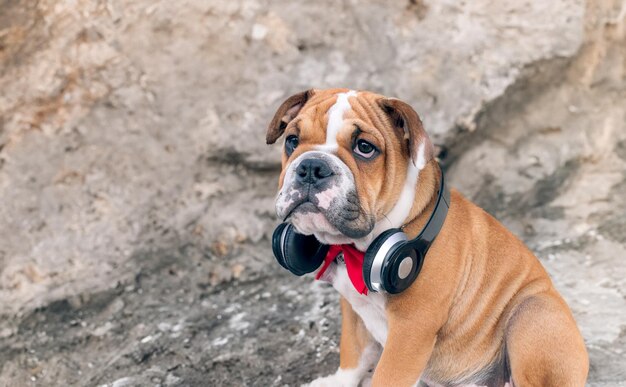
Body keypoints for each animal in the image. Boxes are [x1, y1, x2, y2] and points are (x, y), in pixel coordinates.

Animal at [266, 89, 588, 387]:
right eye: (291, 140)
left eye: (365, 148)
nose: (312, 166)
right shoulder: (353, 311)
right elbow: (353, 353)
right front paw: (337, 381)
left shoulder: (411, 329)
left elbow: (387, 375)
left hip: (532, 315)